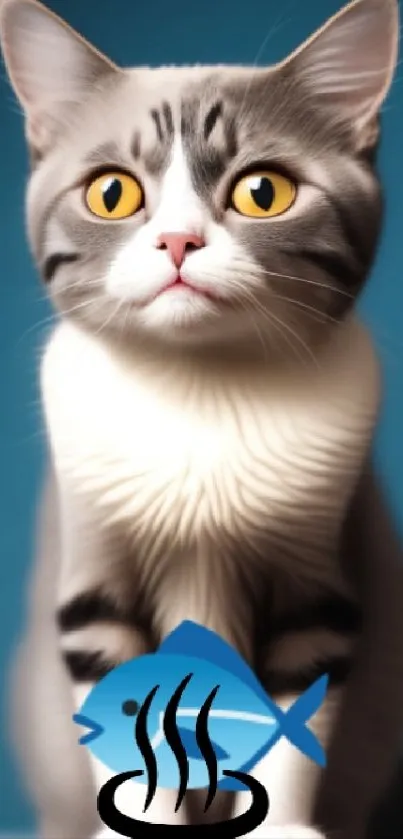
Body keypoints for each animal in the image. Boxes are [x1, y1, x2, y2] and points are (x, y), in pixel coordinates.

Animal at [0, 0, 403, 836]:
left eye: (262, 191)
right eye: (112, 194)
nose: (177, 240)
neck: (200, 391)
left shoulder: (313, 572)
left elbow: (293, 708)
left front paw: (282, 823)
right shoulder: (94, 564)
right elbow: (119, 699)